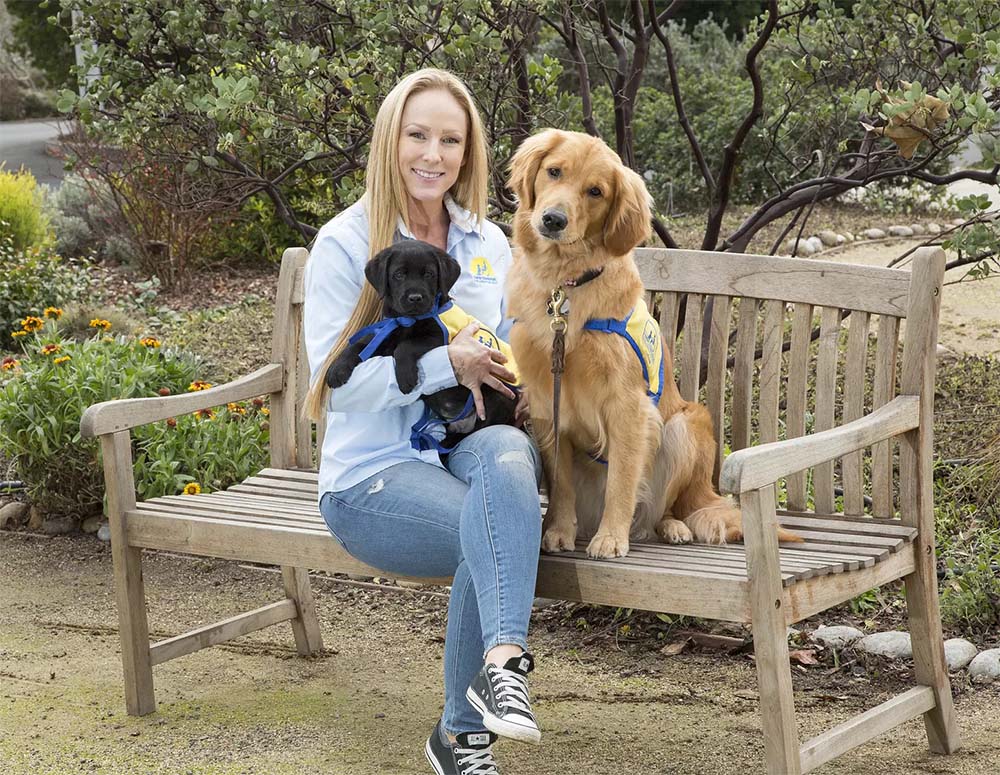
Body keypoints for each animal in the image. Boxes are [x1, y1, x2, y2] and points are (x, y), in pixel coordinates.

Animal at [326, 242, 516, 446]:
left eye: (429, 274)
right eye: (399, 274)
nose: (415, 298)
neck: (407, 320)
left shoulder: (437, 338)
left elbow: (406, 347)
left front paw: (406, 378)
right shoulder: (386, 335)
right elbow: (360, 344)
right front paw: (336, 369)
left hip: (498, 396)